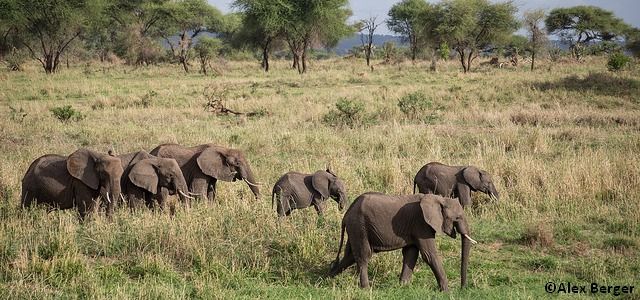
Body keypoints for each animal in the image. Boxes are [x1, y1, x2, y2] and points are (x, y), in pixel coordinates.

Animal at [328, 192, 478, 290]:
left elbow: (411, 254)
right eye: (457, 218)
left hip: (356, 227)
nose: (463, 288)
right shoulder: (421, 224)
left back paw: (328, 278)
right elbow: (429, 255)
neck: (439, 198)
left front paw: (403, 286)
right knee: (363, 255)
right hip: (360, 225)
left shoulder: (414, 227)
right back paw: (365, 289)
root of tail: (346, 214)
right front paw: (447, 291)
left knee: (350, 256)